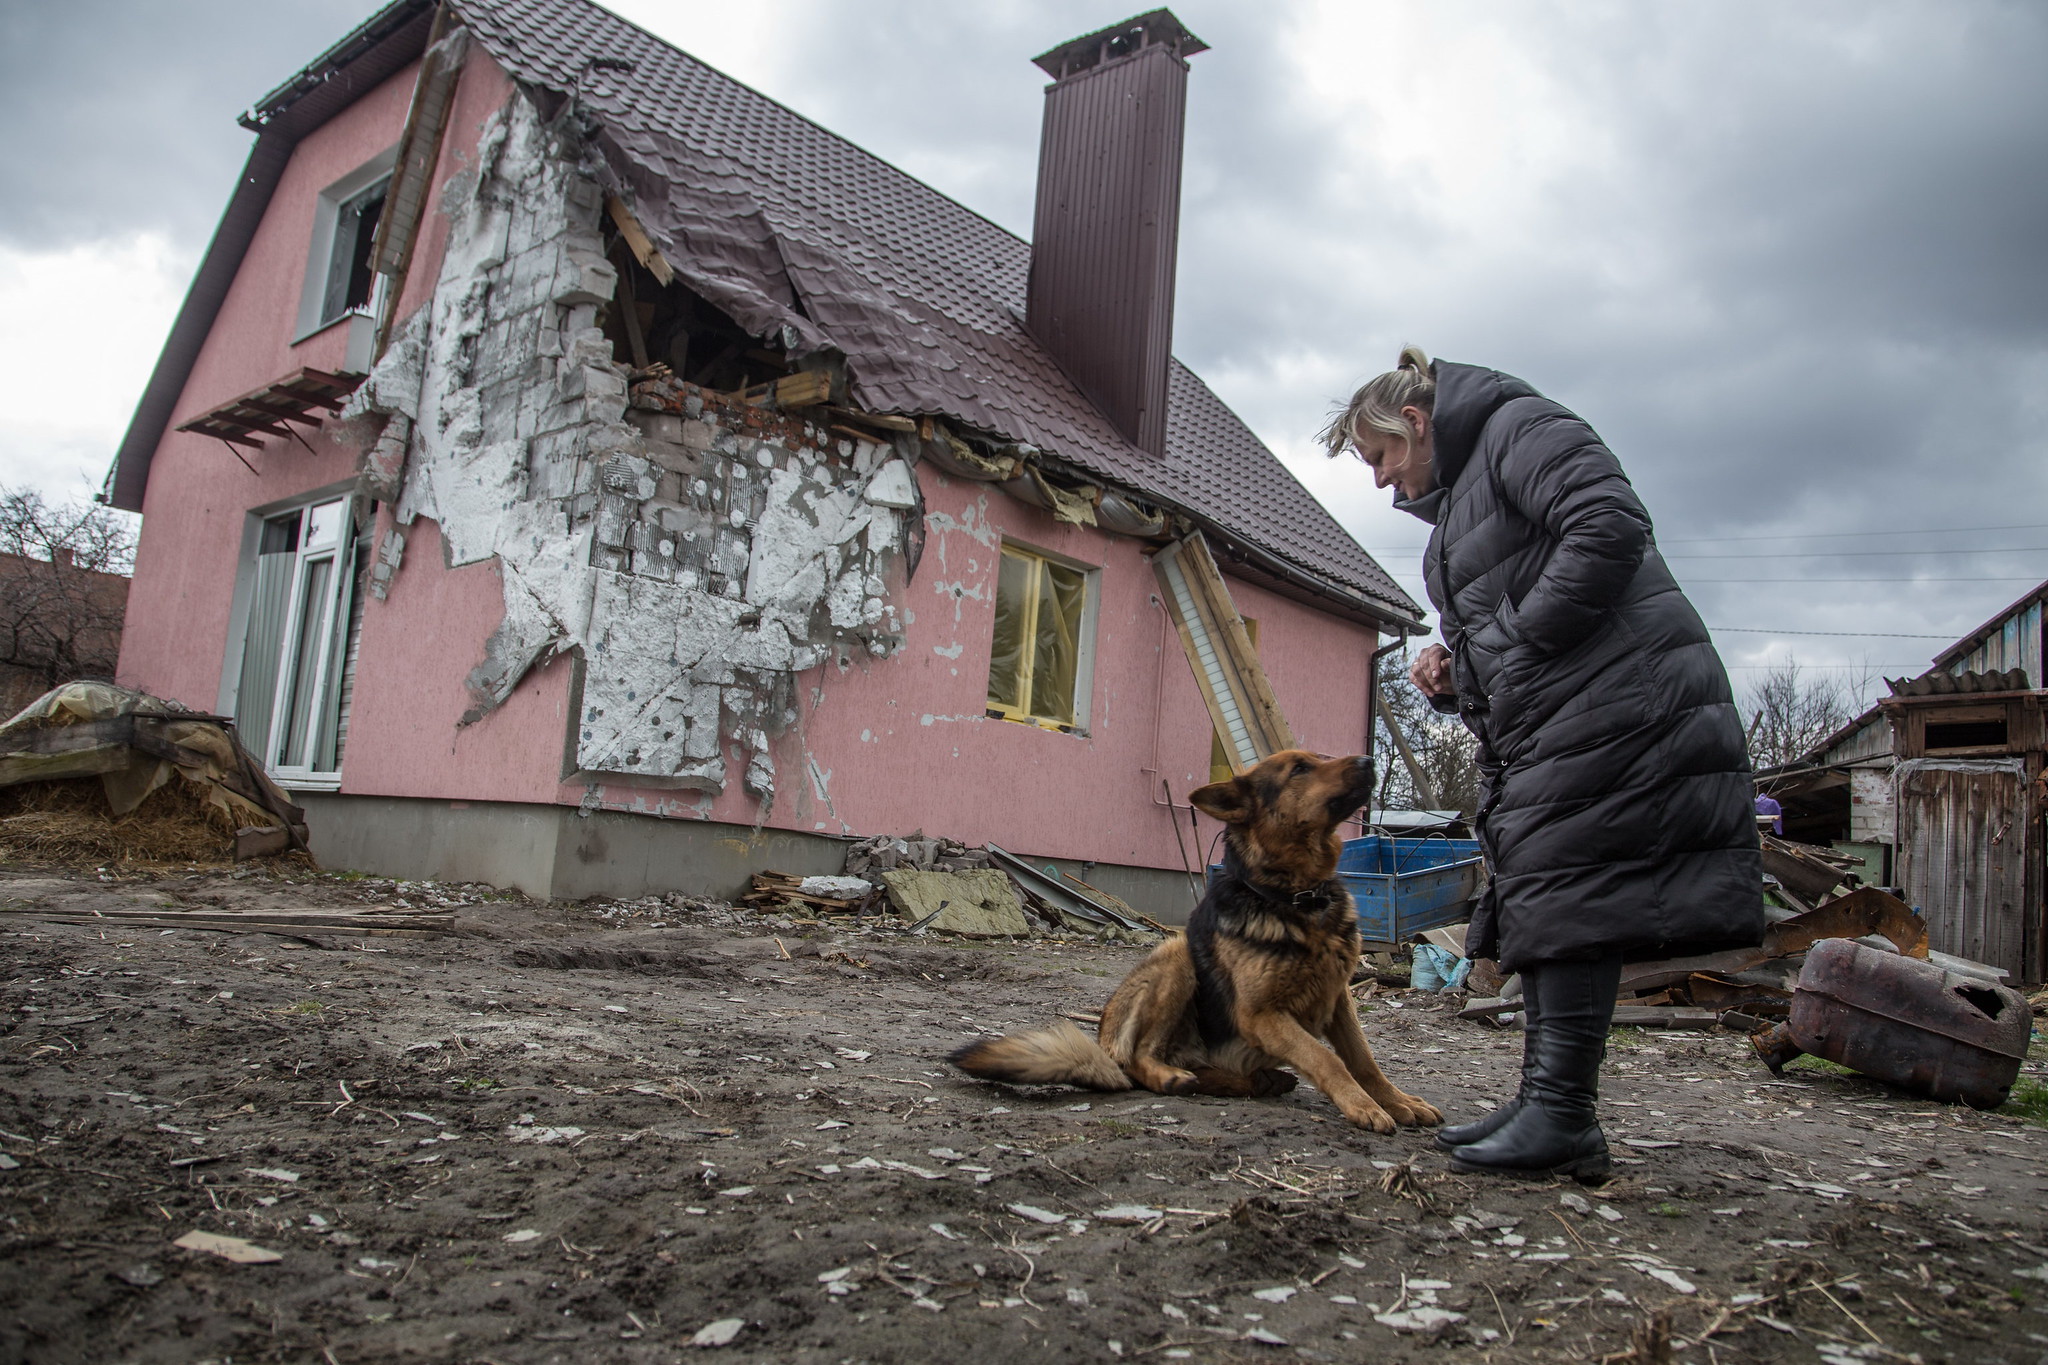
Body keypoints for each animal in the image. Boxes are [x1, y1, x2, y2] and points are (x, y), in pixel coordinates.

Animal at [946, 749, 1441, 1129]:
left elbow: (1364, 1060)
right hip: (1175, 956)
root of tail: (1103, 1042)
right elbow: (1327, 1059)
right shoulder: (1262, 1015)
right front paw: (1363, 1106)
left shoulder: (1339, 1000)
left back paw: (1255, 1082)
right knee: (1140, 1058)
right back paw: (1171, 1077)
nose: (1367, 759)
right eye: (1299, 768)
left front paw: (1397, 1101)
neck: (1298, 898)